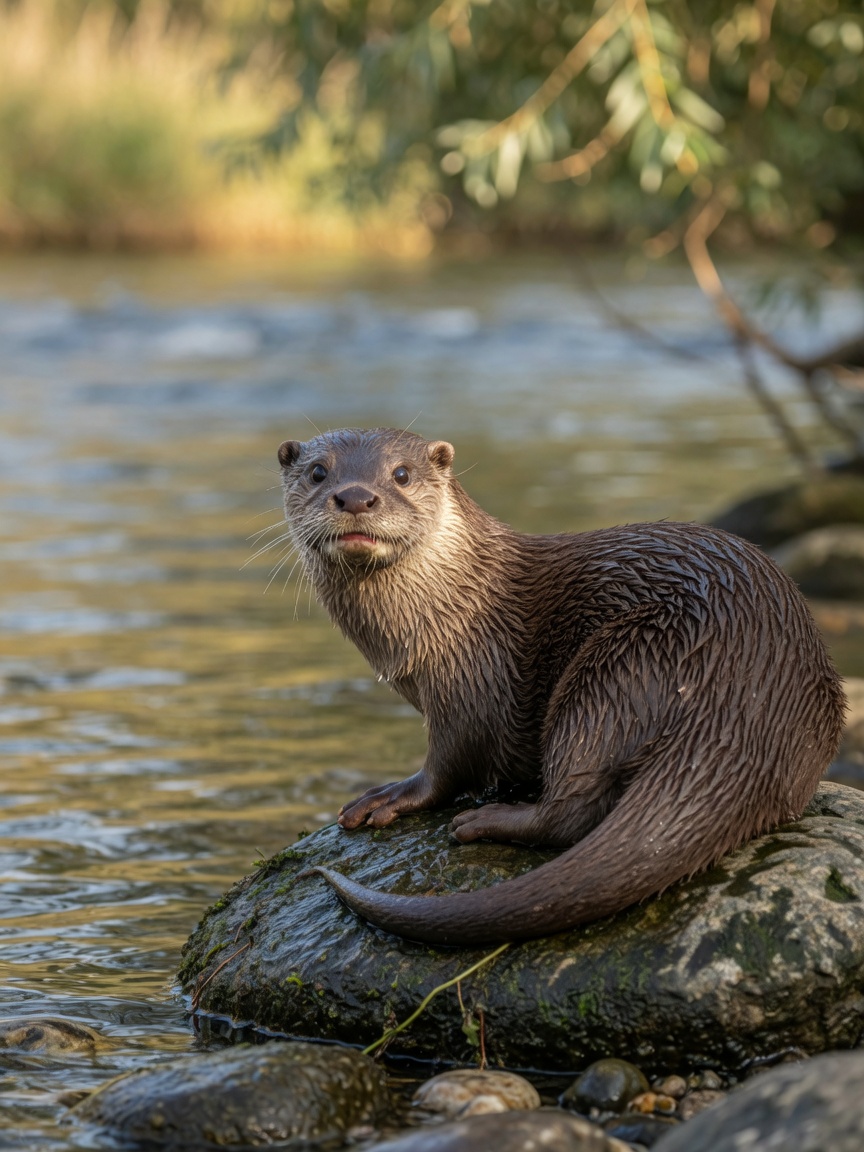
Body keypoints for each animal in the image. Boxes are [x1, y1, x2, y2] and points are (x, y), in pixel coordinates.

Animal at [278, 427, 846, 947]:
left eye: (401, 474)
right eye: (318, 472)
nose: (355, 497)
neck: (452, 610)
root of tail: (749, 695)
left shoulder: (474, 682)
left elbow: (450, 765)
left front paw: (391, 795)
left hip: (619, 669)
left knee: (570, 812)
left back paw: (488, 820)